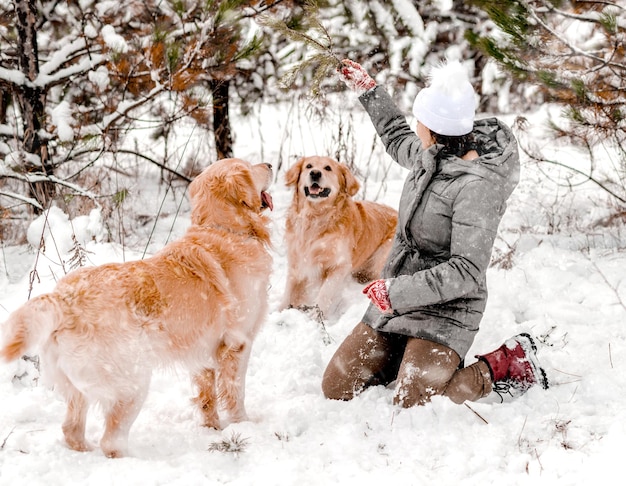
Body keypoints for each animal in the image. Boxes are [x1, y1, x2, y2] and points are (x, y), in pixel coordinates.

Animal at [0, 158, 272, 458]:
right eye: (249, 166)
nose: (270, 164)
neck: (223, 229)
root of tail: (63, 298)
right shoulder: (237, 344)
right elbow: (236, 393)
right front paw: (244, 425)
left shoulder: (203, 351)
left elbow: (207, 396)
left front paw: (212, 427)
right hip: (133, 382)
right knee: (111, 441)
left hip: (78, 389)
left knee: (71, 430)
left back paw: (85, 449)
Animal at [278, 156, 394, 318]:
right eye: (309, 166)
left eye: (328, 168)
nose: (315, 173)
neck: (315, 218)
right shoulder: (297, 261)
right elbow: (288, 292)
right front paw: (278, 312)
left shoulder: (340, 264)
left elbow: (325, 292)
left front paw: (317, 316)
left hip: (381, 257)